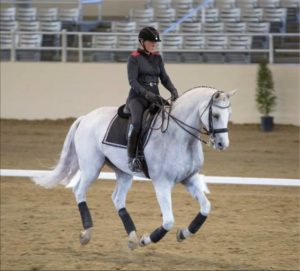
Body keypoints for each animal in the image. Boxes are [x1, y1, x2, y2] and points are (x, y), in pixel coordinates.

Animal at [32, 86, 234, 251]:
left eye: (229, 115)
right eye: (215, 115)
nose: (222, 144)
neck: (179, 137)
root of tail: (86, 118)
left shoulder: (189, 179)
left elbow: (206, 208)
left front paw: (183, 233)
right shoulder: (162, 183)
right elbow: (168, 221)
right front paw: (147, 240)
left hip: (123, 172)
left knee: (117, 199)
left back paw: (132, 238)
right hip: (92, 167)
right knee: (79, 190)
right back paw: (87, 234)